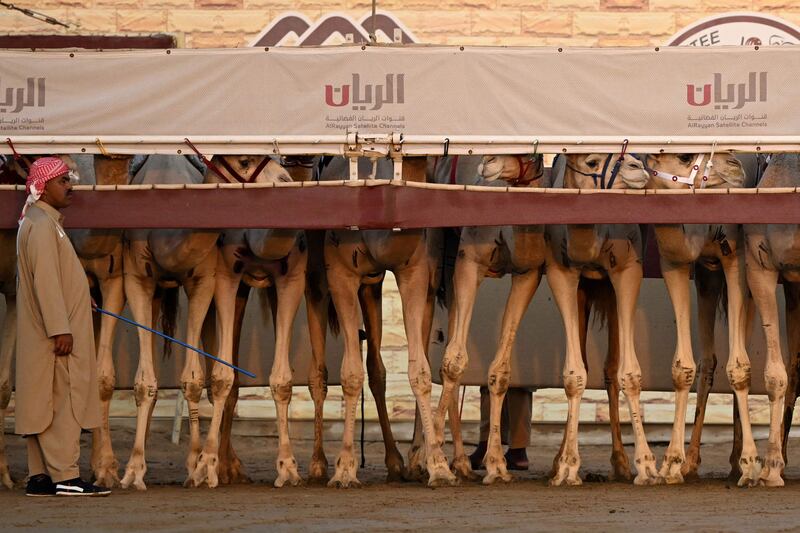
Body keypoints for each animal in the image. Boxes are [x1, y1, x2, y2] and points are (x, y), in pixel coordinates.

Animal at [316, 155, 456, 486]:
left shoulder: (415, 273)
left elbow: (420, 371)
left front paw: (439, 466)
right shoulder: (340, 276)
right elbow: (351, 373)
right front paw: (344, 469)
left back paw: (408, 461)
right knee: (369, 368)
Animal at [548, 152, 660, 484]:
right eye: (591, 161)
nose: (638, 168)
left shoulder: (627, 270)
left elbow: (629, 374)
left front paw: (647, 466)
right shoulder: (561, 273)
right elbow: (573, 374)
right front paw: (567, 467)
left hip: (608, 291)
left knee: (611, 368)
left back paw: (621, 463)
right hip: (585, 291)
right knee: (587, 363)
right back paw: (559, 461)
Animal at [640, 152, 760, 484]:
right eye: (684, 155)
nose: (735, 167)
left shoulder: (735, 259)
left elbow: (739, 367)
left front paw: (751, 463)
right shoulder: (681, 265)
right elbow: (684, 366)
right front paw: (671, 464)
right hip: (710, 278)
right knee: (709, 361)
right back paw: (697, 462)